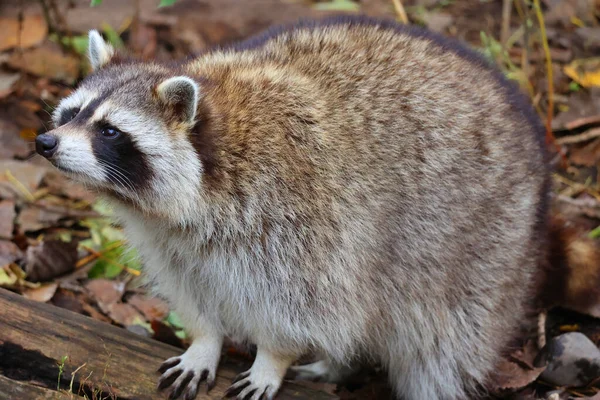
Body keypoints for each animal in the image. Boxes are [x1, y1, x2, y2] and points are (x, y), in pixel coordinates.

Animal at [34, 15, 576, 400]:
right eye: (71, 113)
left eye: (109, 131)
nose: (44, 142)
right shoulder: (169, 240)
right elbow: (194, 288)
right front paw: (205, 340)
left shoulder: (300, 214)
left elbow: (305, 304)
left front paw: (272, 358)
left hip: (486, 246)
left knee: (439, 348)